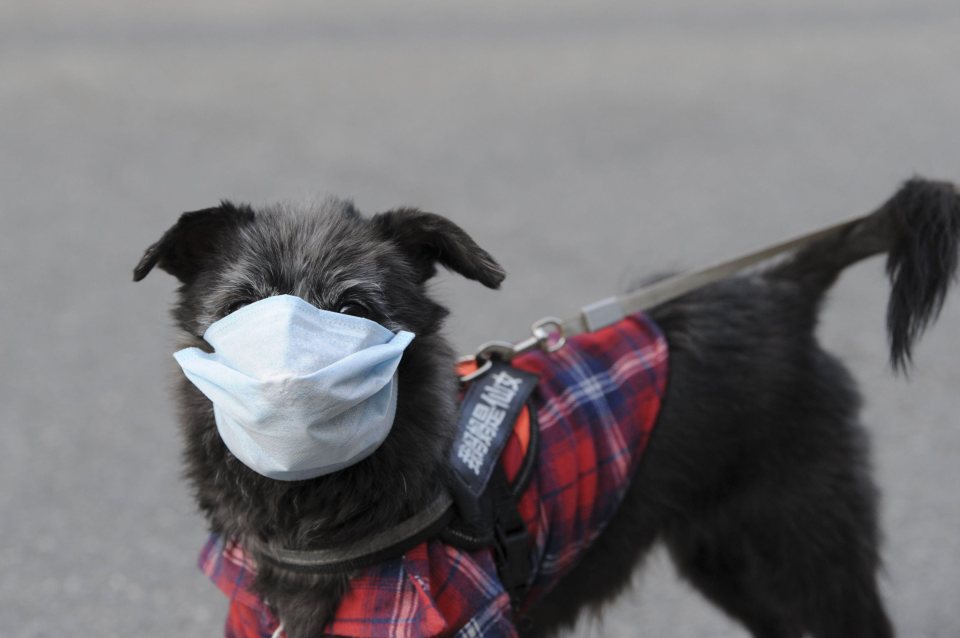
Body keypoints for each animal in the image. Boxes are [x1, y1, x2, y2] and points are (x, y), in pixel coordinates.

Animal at [135, 176, 960, 638]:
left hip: (810, 543)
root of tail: (783, 290)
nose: (284, 375)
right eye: (239, 305)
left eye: (354, 307)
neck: (315, 512)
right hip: (726, 558)